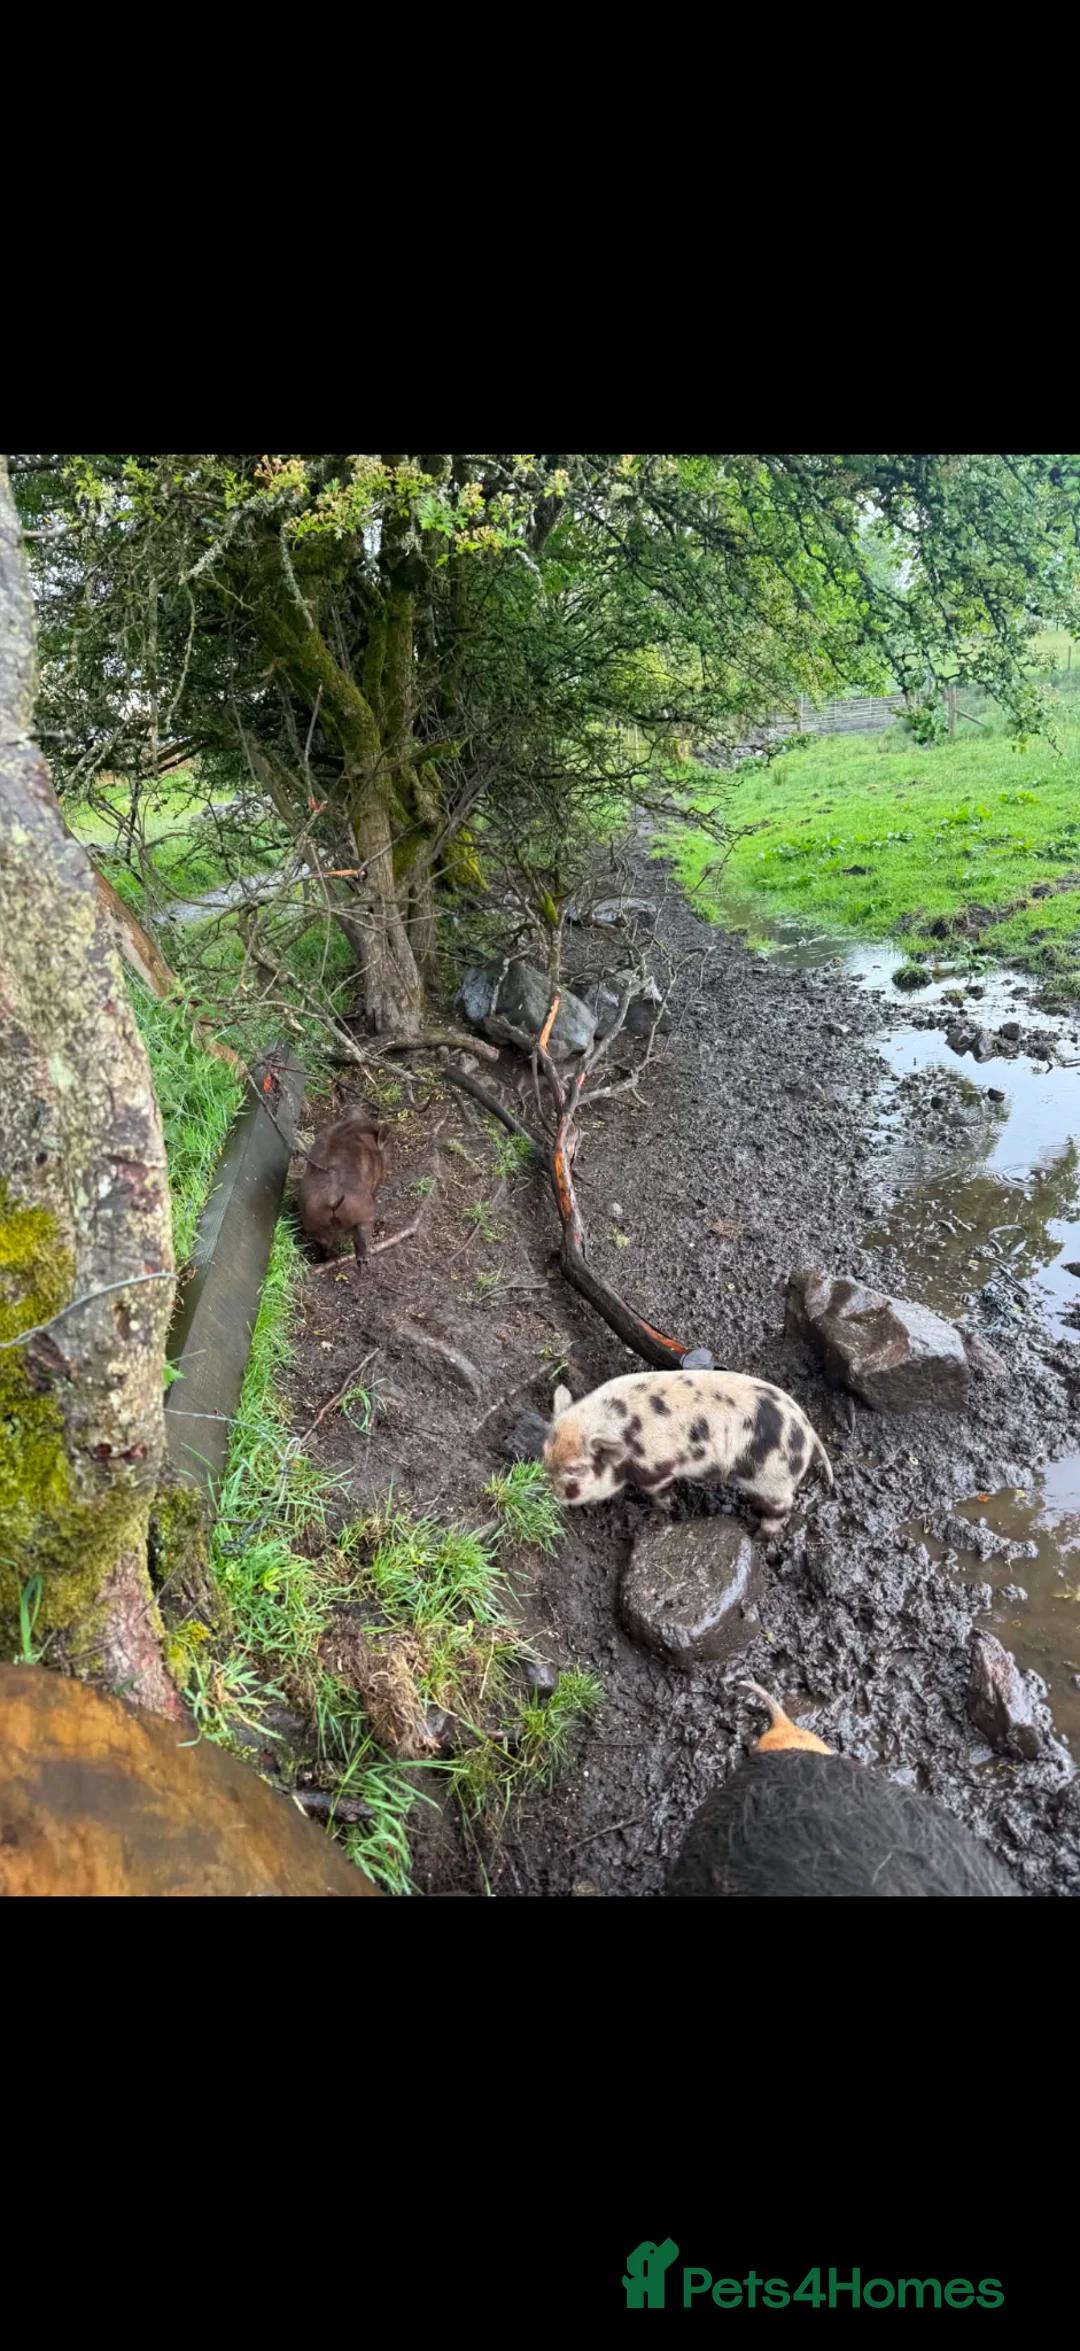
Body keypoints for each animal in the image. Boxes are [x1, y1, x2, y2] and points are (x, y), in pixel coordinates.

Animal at [297, 1112, 388, 1271]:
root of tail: (331, 1199)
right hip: (362, 1211)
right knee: (362, 1237)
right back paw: (363, 1261)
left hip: (313, 1216)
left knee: (323, 1243)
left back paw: (326, 1260)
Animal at [543, 1368, 833, 1534]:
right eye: (546, 1453)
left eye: (575, 1469)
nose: (548, 1493)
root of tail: (809, 1433)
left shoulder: (658, 1466)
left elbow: (659, 1493)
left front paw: (659, 1514)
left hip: (772, 1479)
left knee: (782, 1508)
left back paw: (759, 1536)